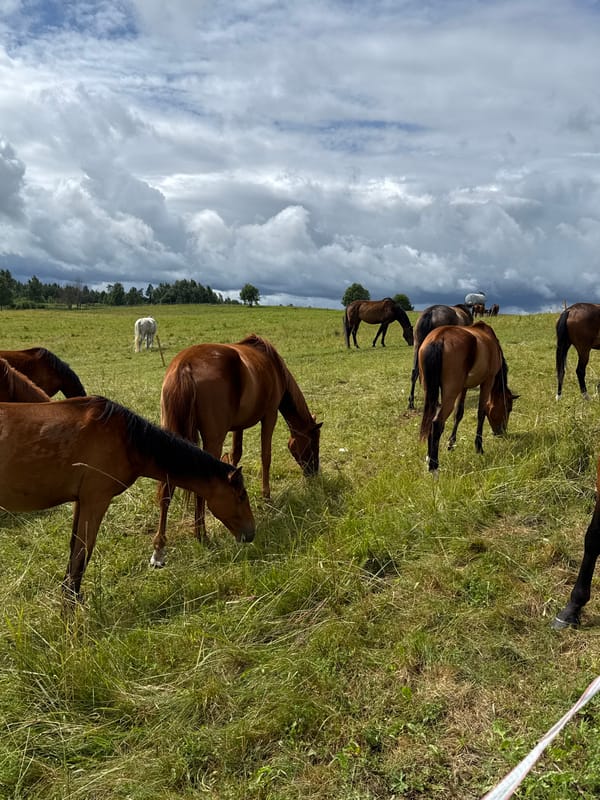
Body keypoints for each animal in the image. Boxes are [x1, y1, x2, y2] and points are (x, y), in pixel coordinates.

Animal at [0, 396, 255, 602]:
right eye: (241, 495)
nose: (251, 533)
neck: (126, 439)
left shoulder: (80, 502)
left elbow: (74, 554)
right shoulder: (95, 501)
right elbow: (80, 559)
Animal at [157, 333, 322, 559]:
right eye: (314, 443)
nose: (314, 472)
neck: (272, 364)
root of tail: (185, 366)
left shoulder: (238, 426)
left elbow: (235, 455)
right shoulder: (269, 416)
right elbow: (266, 456)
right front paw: (266, 496)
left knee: (165, 489)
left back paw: (160, 543)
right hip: (213, 439)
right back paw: (201, 535)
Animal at [418, 321, 518, 474]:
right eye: (508, 409)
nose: (501, 432)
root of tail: (438, 338)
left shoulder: (463, 388)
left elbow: (458, 414)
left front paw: (451, 444)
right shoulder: (487, 381)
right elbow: (481, 412)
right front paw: (479, 447)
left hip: (430, 392)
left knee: (431, 420)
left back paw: (429, 458)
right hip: (450, 393)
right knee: (437, 423)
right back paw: (434, 465)